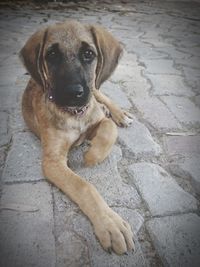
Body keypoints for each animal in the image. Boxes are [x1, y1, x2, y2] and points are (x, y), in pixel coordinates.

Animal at [19, 19, 134, 254]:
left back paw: (120, 114)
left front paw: (92, 155)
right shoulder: (53, 162)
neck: (75, 114)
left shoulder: (94, 115)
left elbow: (109, 127)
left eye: (88, 54)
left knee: (102, 97)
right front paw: (110, 224)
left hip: (94, 85)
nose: (73, 93)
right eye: (52, 55)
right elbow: (84, 186)